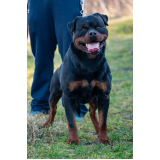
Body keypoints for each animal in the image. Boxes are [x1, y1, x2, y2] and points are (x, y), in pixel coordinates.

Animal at [42, 13, 112, 144]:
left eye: (99, 27)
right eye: (83, 29)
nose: (92, 33)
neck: (89, 62)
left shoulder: (104, 96)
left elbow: (103, 122)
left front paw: (104, 139)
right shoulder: (68, 97)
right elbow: (71, 122)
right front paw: (73, 140)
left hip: (94, 99)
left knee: (92, 113)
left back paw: (97, 131)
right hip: (54, 95)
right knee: (52, 110)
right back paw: (46, 125)